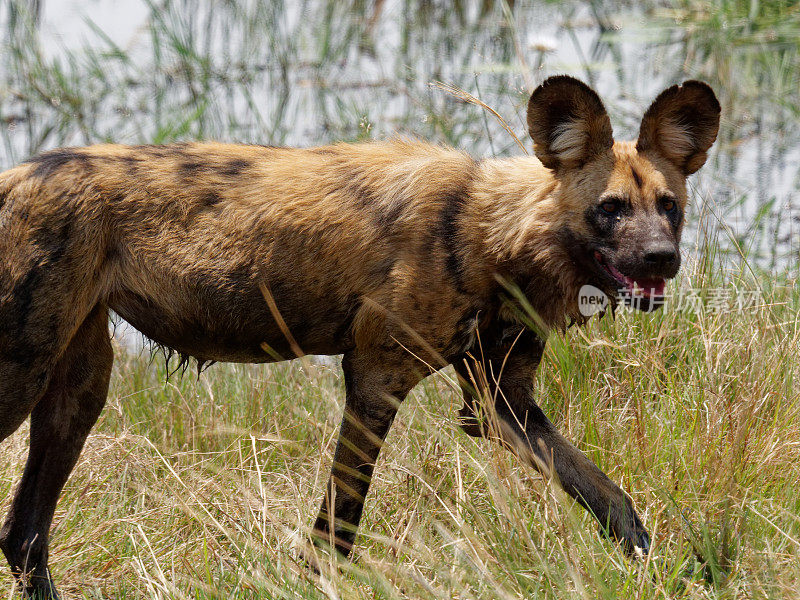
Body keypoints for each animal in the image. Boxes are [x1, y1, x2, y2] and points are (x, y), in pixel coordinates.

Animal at [0, 76, 720, 596]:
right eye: (610, 210)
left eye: (670, 207)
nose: (662, 257)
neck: (489, 232)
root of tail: (16, 177)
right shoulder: (376, 383)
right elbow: (337, 529)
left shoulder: (501, 406)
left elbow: (613, 501)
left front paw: (678, 573)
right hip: (20, 377)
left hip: (78, 389)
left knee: (25, 535)